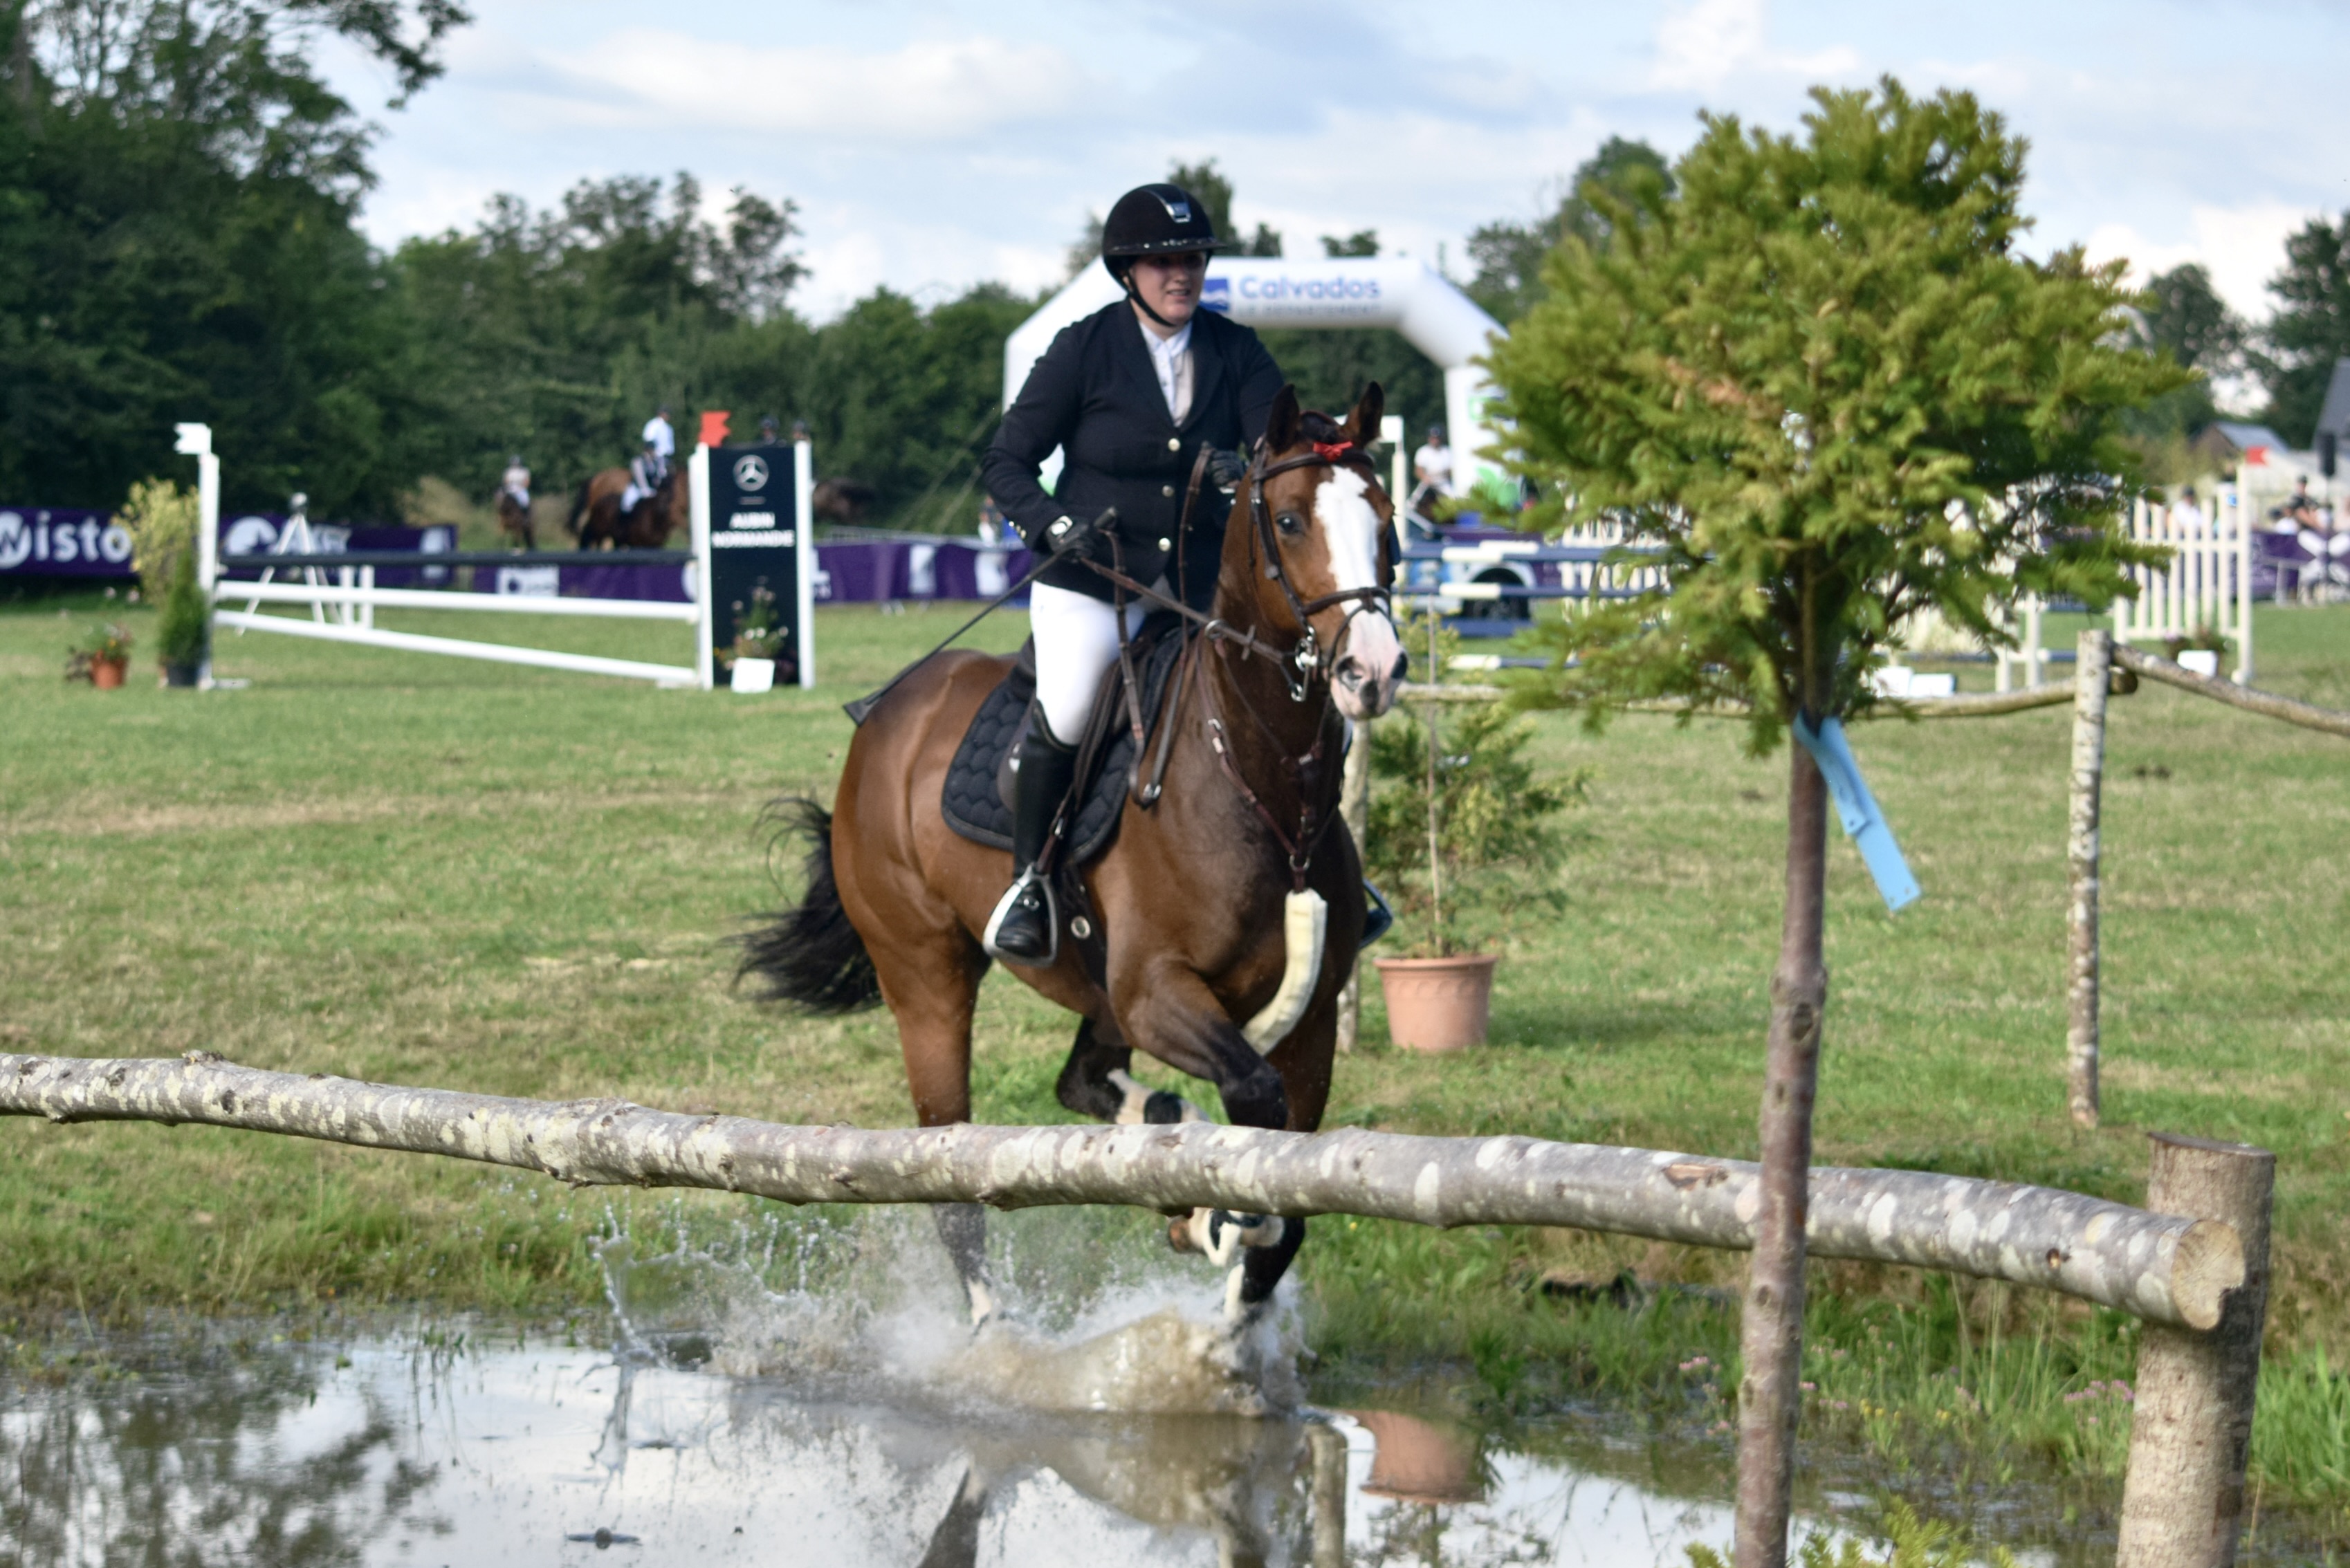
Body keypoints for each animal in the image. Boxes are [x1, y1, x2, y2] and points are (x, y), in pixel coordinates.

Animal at [740, 384, 1408, 1332]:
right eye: (1286, 519)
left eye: (1386, 521)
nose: (1371, 669)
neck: (1258, 783)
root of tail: (885, 713)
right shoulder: (1158, 990)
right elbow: (1255, 1117)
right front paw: (1217, 1221)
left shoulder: (1310, 1022)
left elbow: (1289, 1199)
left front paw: (1229, 1313)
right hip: (928, 976)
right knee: (951, 1172)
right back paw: (993, 1331)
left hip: (1097, 993)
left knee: (1083, 1082)